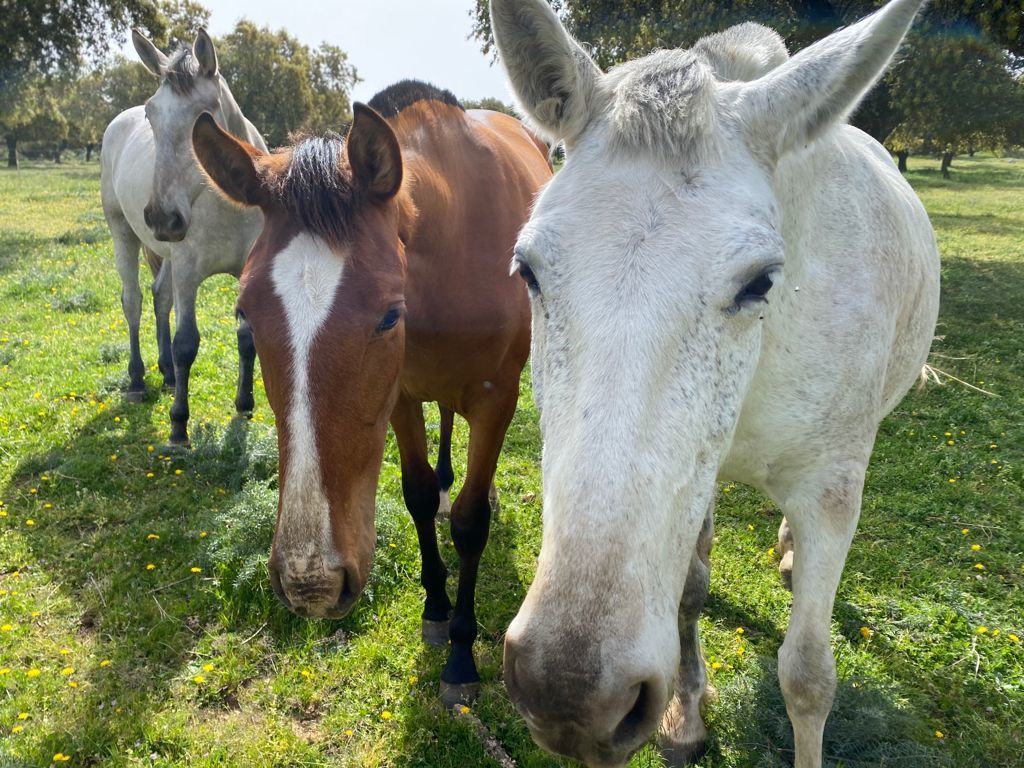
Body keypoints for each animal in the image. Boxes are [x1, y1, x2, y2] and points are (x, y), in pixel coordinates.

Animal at [100, 30, 264, 448]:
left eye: (204, 116)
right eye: (151, 114)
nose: (162, 217)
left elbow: (247, 337)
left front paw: (244, 404)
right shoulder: (189, 271)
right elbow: (186, 342)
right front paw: (178, 425)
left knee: (160, 297)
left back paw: (168, 374)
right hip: (123, 234)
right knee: (134, 301)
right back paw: (138, 380)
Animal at [191, 81, 552, 708]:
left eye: (388, 315)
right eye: (246, 313)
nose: (311, 582)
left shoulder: (496, 399)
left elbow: (469, 523)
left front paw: (461, 655)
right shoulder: (402, 396)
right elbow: (417, 495)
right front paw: (435, 609)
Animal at [491, 1, 937, 768]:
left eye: (760, 280)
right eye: (528, 271)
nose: (572, 697)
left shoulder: (829, 490)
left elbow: (808, 675)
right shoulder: (697, 475)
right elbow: (690, 592)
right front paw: (686, 718)